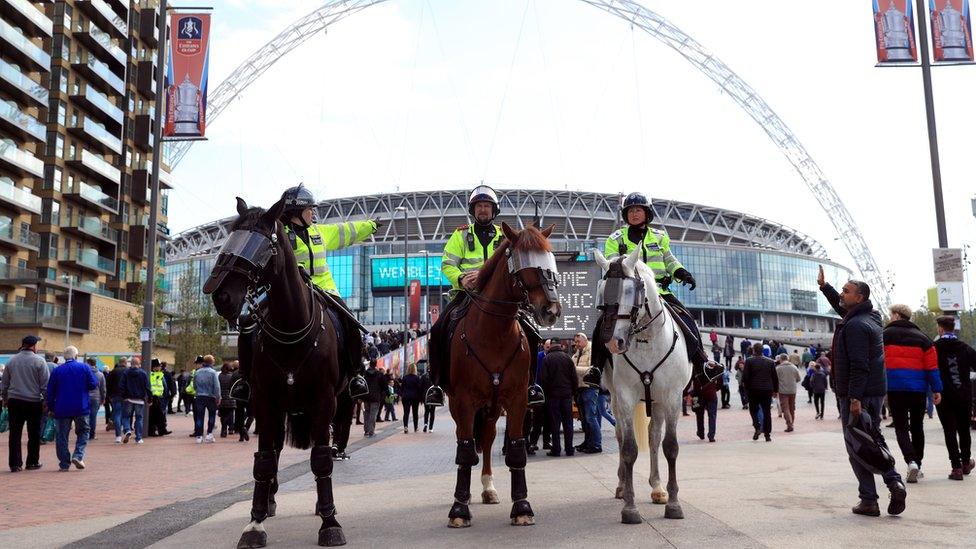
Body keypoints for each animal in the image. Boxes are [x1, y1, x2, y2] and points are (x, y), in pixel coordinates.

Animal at [206, 198, 354, 548]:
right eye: (232, 237)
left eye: (261, 244)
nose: (222, 296)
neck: (292, 330)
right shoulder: (265, 402)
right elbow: (263, 461)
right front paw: (255, 523)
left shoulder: (323, 401)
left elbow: (321, 458)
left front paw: (330, 521)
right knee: (273, 451)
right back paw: (269, 502)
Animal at [446, 222, 560, 528]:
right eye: (526, 265)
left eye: (551, 262)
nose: (551, 310)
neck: (493, 334)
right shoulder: (463, 401)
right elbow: (464, 450)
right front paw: (459, 509)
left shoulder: (517, 398)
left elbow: (517, 449)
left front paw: (522, 506)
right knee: (466, 441)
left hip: (493, 406)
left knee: (485, 440)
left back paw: (488, 487)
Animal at [596, 247, 692, 524]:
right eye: (602, 289)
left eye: (630, 290)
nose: (612, 342)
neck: (645, 339)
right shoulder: (626, 396)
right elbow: (628, 448)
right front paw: (629, 508)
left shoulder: (672, 397)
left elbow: (670, 446)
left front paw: (673, 504)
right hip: (615, 399)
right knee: (620, 437)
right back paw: (620, 486)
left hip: (658, 401)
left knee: (653, 437)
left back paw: (657, 488)